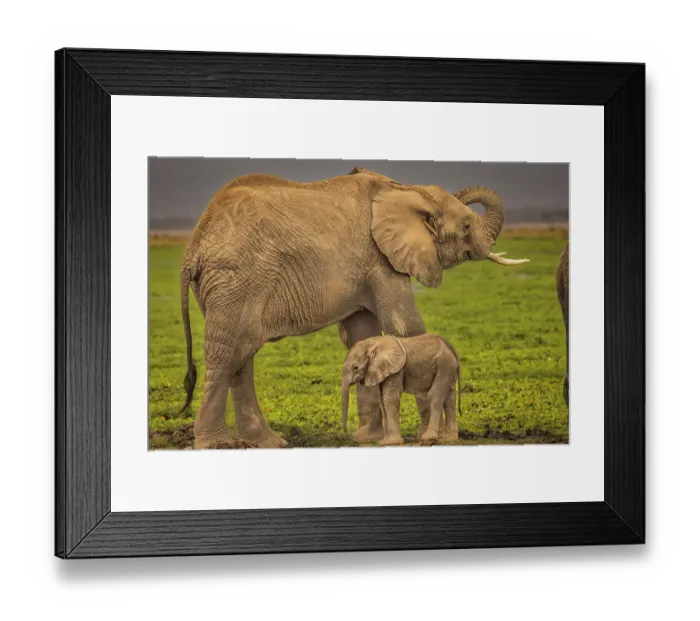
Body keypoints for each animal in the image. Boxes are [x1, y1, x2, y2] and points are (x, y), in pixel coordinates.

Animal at [179, 166, 529, 449]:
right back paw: (214, 445)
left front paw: (369, 439)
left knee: (242, 356)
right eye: (467, 225)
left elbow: (362, 334)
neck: (405, 190)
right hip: (236, 279)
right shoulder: (381, 259)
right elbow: (406, 326)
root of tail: (193, 247)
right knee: (228, 354)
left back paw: (269, 443)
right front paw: (423, 438)